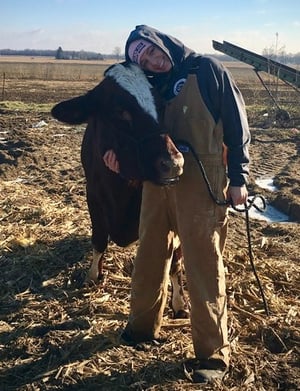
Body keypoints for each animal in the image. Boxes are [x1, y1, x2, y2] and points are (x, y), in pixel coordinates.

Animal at [51, 63, 188, 318]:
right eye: (119, 111)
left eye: (161, 104)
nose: (173, 163)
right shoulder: (93, 195)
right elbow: (98, 240)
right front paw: (93, 276)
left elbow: (174, 261)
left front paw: (178, 303)